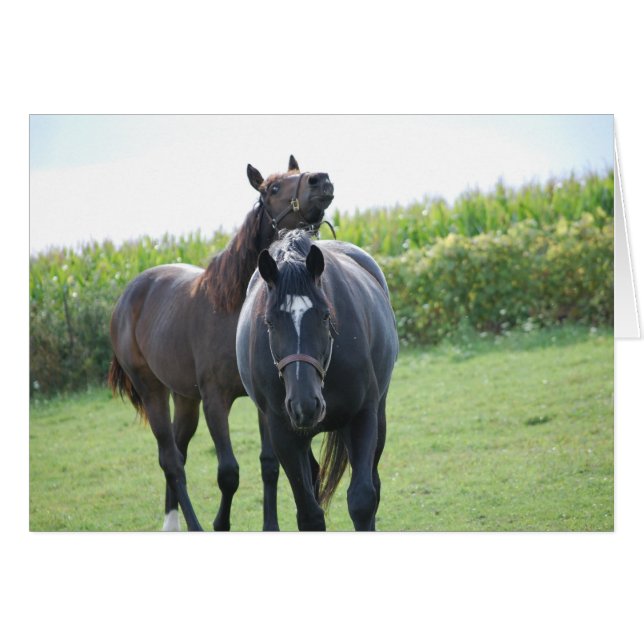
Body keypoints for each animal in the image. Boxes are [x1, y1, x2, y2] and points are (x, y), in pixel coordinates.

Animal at [108, 156, 334, 531]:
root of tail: (128, 296)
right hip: (152, 391)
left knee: (179, 452)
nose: (321, 180)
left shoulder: (264, 402)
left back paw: (173, 521)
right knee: (171, 460)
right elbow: (228, 472)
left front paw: (270, 526)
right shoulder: (216, 401)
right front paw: (220, 524)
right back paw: (189, 525)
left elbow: (268, 465)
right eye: (273, 188)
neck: (233, 307)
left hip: (185, 398)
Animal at [236, 230, 398, 530]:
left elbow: (363, 500)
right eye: (269, 322)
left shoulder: (362, 416)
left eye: (325, 316)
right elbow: (309, 514)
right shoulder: (284, 434)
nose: (305, 404)